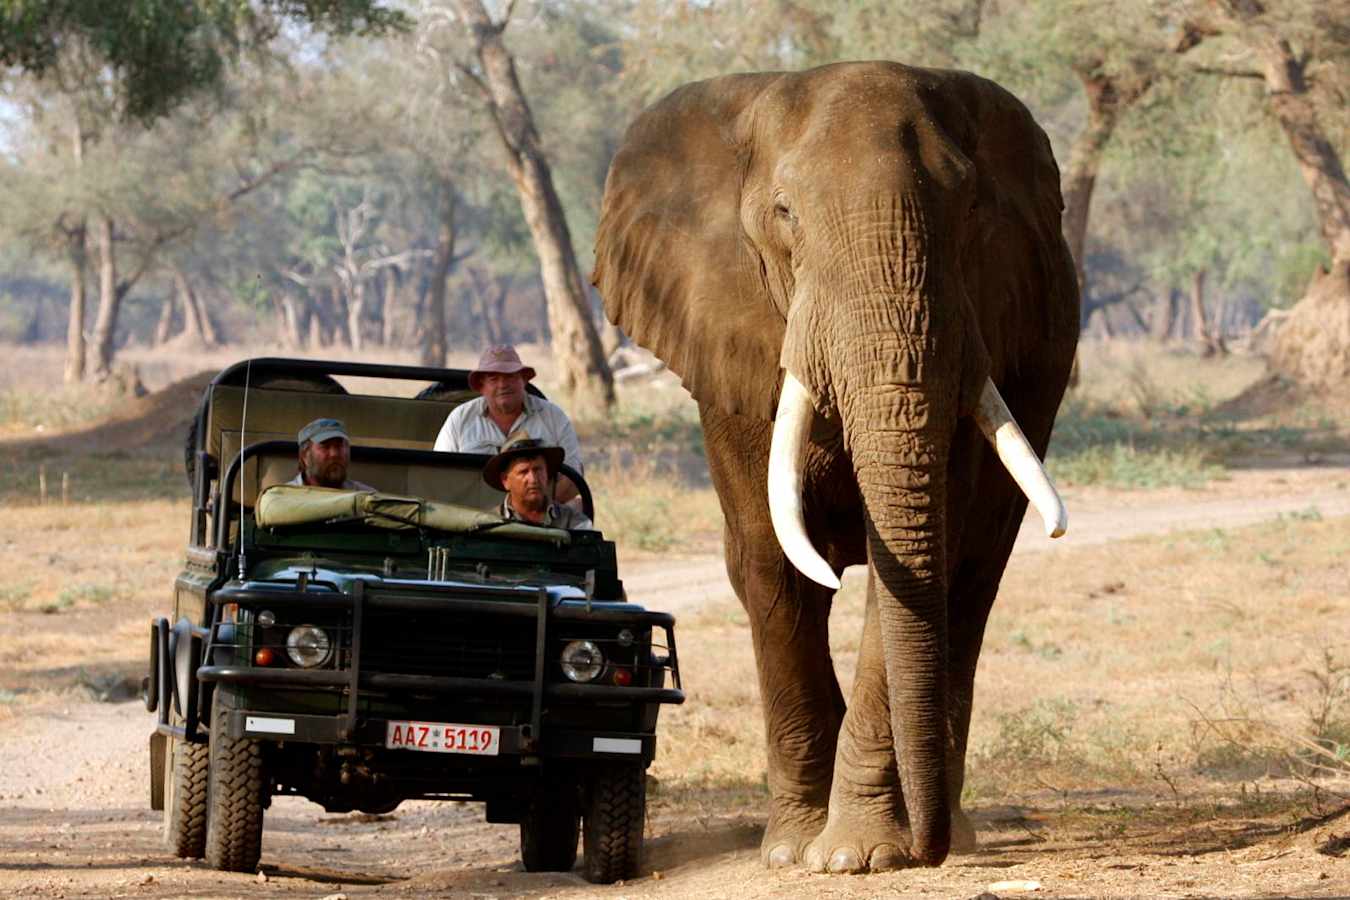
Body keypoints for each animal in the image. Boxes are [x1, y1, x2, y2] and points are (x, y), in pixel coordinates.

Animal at [592, 62, 1079, 873]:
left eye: (970, 209)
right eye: (785, 214)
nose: (929, 851)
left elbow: (912, 566)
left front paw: (860, 853)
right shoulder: (732, 343)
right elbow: (772, 563)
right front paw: (793, 850)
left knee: (974, 583)